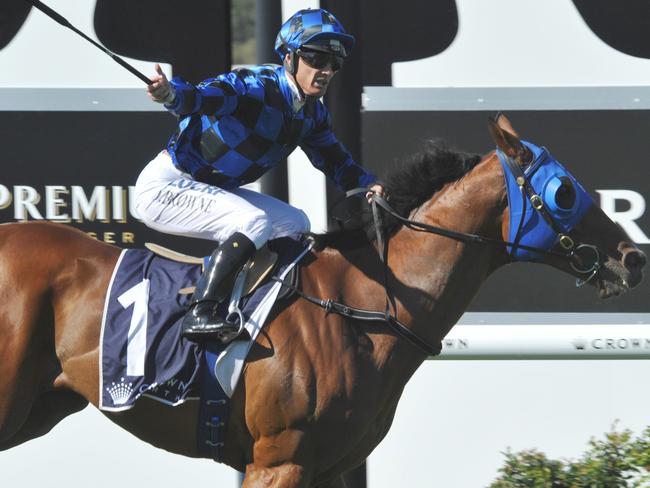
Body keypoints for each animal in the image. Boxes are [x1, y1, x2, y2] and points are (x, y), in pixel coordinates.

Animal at [0, 113, 640, 484]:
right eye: (564, 191)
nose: (633, 257)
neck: (367, 304)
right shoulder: (279, 461)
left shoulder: (333, 466)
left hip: (40, 406)